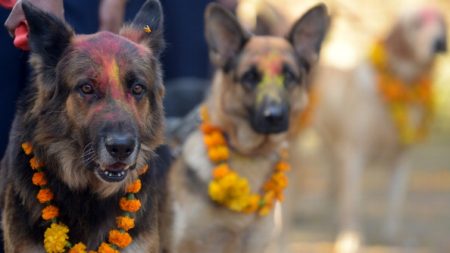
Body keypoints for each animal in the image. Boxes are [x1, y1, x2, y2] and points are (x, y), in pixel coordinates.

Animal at [312, 6, 446, 251]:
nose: (440, 42)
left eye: (441, 22)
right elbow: (354, 202)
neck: (404, 85)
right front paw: (351, 237)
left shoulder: (402, 158)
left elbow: (395, 202)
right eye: (417, 23)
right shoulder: (355, 155)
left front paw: (393, 236)